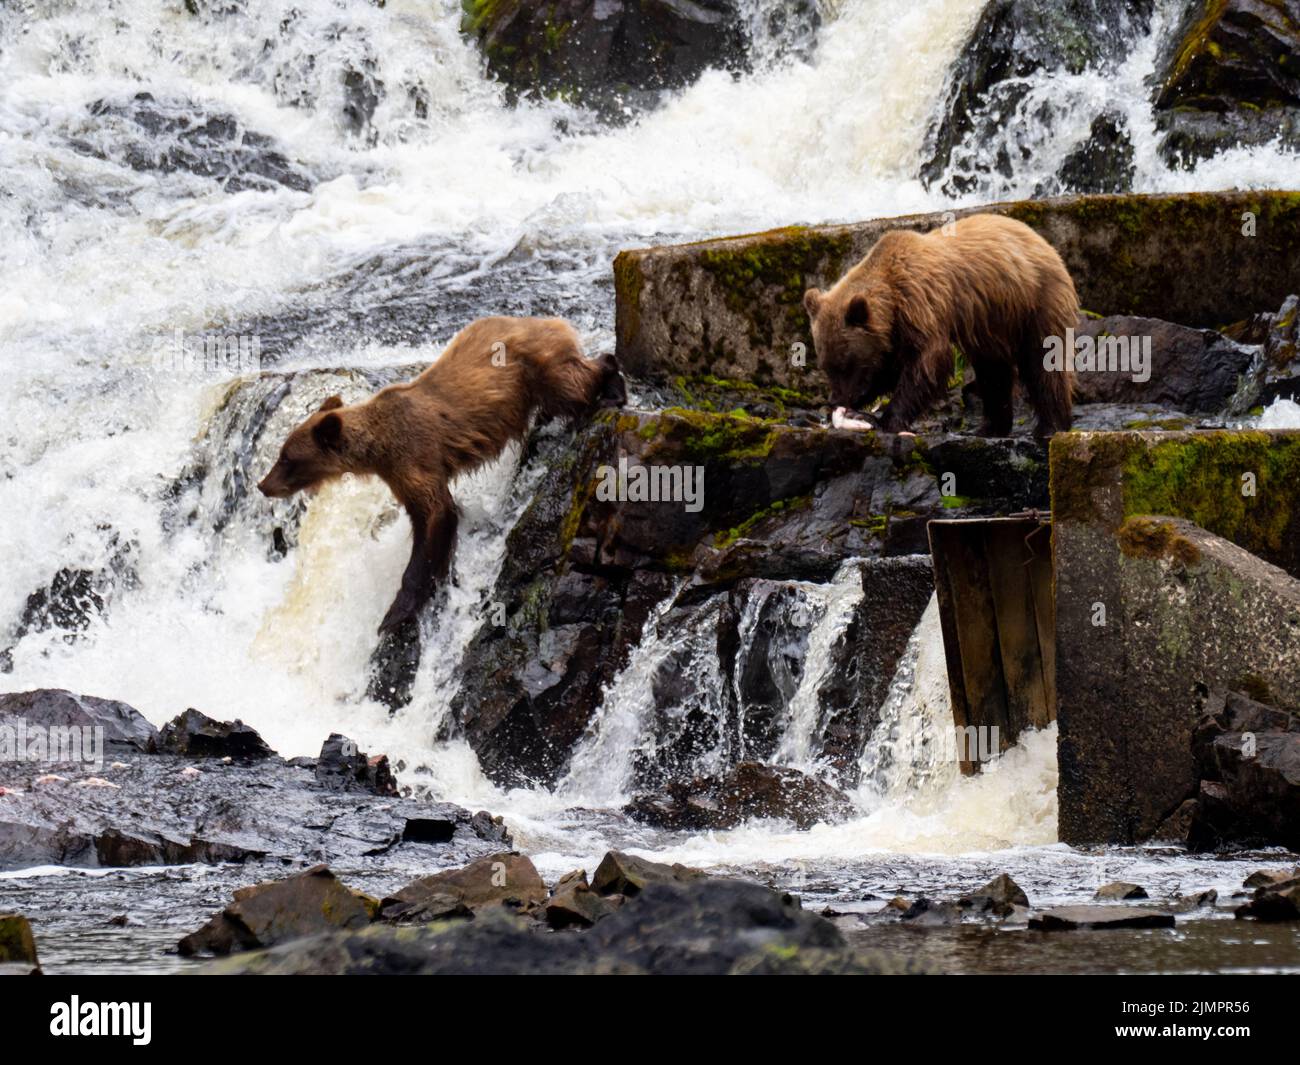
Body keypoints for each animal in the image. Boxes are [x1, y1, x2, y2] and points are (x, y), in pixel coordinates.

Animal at [257, 315, 624, 631]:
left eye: (288, 458)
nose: (263, 485)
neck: (377, 449)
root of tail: (548, 319)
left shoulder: (415, 459)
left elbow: (436, 513)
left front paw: (397, 610)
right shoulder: (397, 474)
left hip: (533, 367)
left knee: (571, 385)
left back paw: (611, 382)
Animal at [800, 213, 1076, 436]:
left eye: (846, 364)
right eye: (825, 366)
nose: (836, 400)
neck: (892, 298)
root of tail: (1042, 240)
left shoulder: (921, 304)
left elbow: (928, 361)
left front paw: (889, 419)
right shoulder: (894, 331)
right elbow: (889, 367)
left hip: (1036, 299)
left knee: (1044, 361)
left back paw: (1050, 426)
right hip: (992, 321)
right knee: (993, 370)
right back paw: (990, 427)